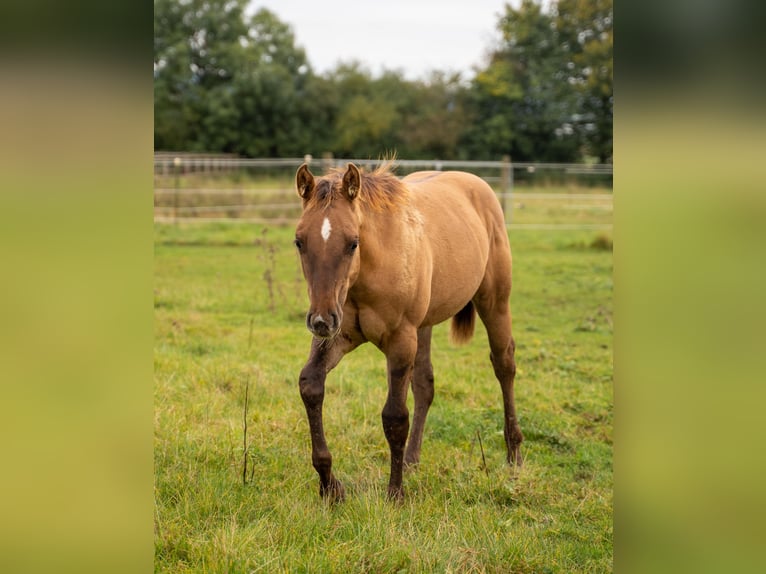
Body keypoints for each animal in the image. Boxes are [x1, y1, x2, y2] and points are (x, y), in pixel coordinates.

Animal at [292, 161, 520, 500]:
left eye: (352, 242)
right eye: (299, 242)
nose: (320, 320)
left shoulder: (400, 341)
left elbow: (395, 417)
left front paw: (395, 494)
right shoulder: (338, 337)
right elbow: (311, 385)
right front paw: (330, 487)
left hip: (494, 302)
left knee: (504, 365)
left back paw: (514, 454)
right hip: (422, 327)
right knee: (425, 385)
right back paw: (412, 460)